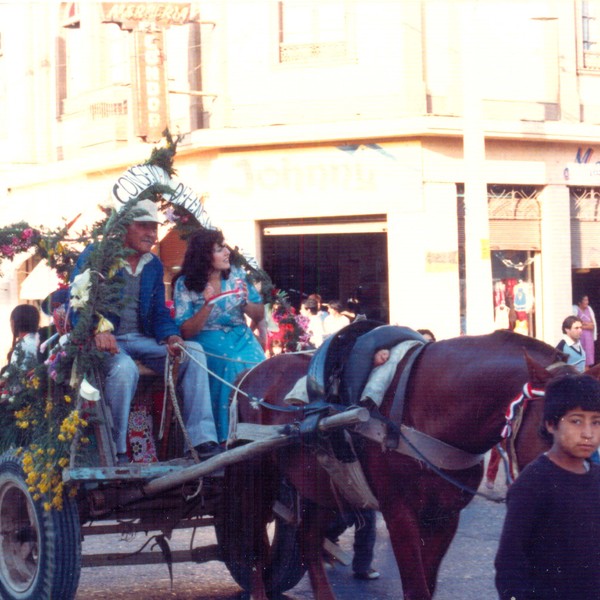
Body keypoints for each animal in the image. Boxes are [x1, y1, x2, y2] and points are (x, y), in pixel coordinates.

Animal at [221, 328, 596, 600]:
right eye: (549, 426)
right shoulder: (399, 512)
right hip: (254, 479)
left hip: (318, 484)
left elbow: (428, 585)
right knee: (253, 550)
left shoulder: (445, 516)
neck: (429, 409)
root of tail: (248, 375)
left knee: (308, 542)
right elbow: (416, 588)